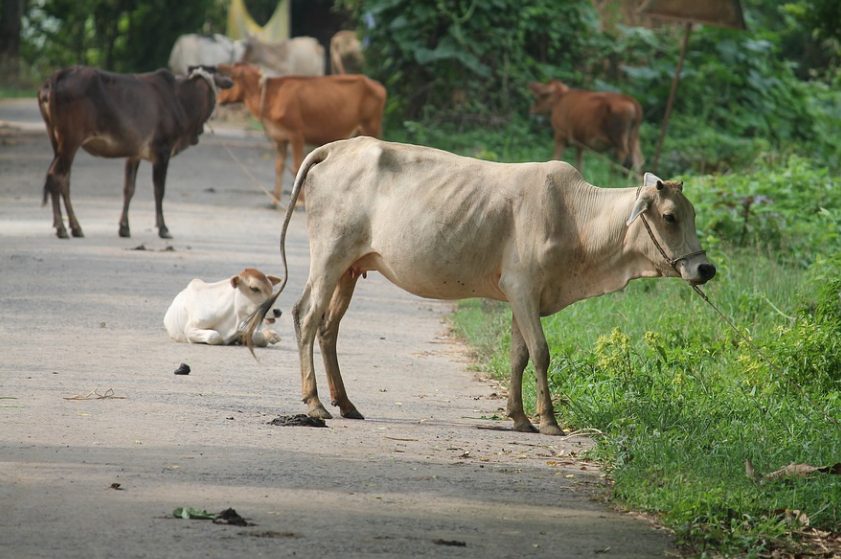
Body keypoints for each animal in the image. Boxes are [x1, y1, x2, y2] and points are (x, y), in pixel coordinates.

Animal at [38, 66, 231, 240]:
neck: (183, 102)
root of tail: (56, 77)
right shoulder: (162, 151)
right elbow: (159, 190)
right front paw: (163, 228)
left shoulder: (134, 153)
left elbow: (129, 189)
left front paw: (124, 227)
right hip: (71, 141)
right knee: (56, 176)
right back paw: (62, 228)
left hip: (57, 141)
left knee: (63, 180)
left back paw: (75, 227)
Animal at [217, 63, 388, 207]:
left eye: (230, 80)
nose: (218, 99)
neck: (269, 96)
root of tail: (377, 85)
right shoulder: (280, 138)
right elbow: (279, 166)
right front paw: (275, 200)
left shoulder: (296, 135)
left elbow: (296, 167)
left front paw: (299, 201)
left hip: (371, 127)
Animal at [244, 138, 716, 436]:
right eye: (670, 216)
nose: (705, 268)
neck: (577, 219)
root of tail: (336, 147)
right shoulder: (523, 287)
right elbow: (541, 353)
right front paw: (549, 422)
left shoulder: (522, 297)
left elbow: (519, 355)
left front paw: (519, 418)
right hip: (328, 256)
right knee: (307, 316)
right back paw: (315, 404)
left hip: (350, 268)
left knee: (329, 328)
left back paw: (347, 404)